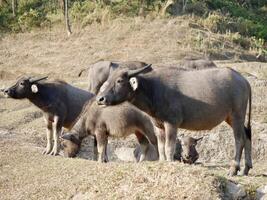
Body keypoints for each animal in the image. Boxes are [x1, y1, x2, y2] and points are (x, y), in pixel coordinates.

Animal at [97, 65, 253, 176]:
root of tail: (243, 80)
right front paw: (162, 162)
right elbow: (160, 146)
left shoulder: (172, 123)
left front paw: (170, 162)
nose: (100, 99)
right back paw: (246, 168)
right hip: (231, 118)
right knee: (247, 135)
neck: (153, 90)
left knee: (239, 139)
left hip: (237, 115)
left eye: (119, 81)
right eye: (107, 80)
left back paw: (234, 169)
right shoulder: (158, 125)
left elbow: (169, 146)